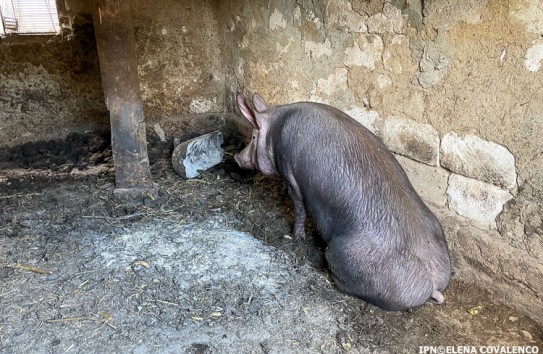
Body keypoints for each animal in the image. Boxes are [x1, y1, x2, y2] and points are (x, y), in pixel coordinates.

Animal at [236, 92, 452, 312]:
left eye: (253, 137)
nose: (236, 157)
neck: (275, 128)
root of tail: (433, 282)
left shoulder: (291, 176)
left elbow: (299, 208)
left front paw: (297, 237)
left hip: (342, 254)